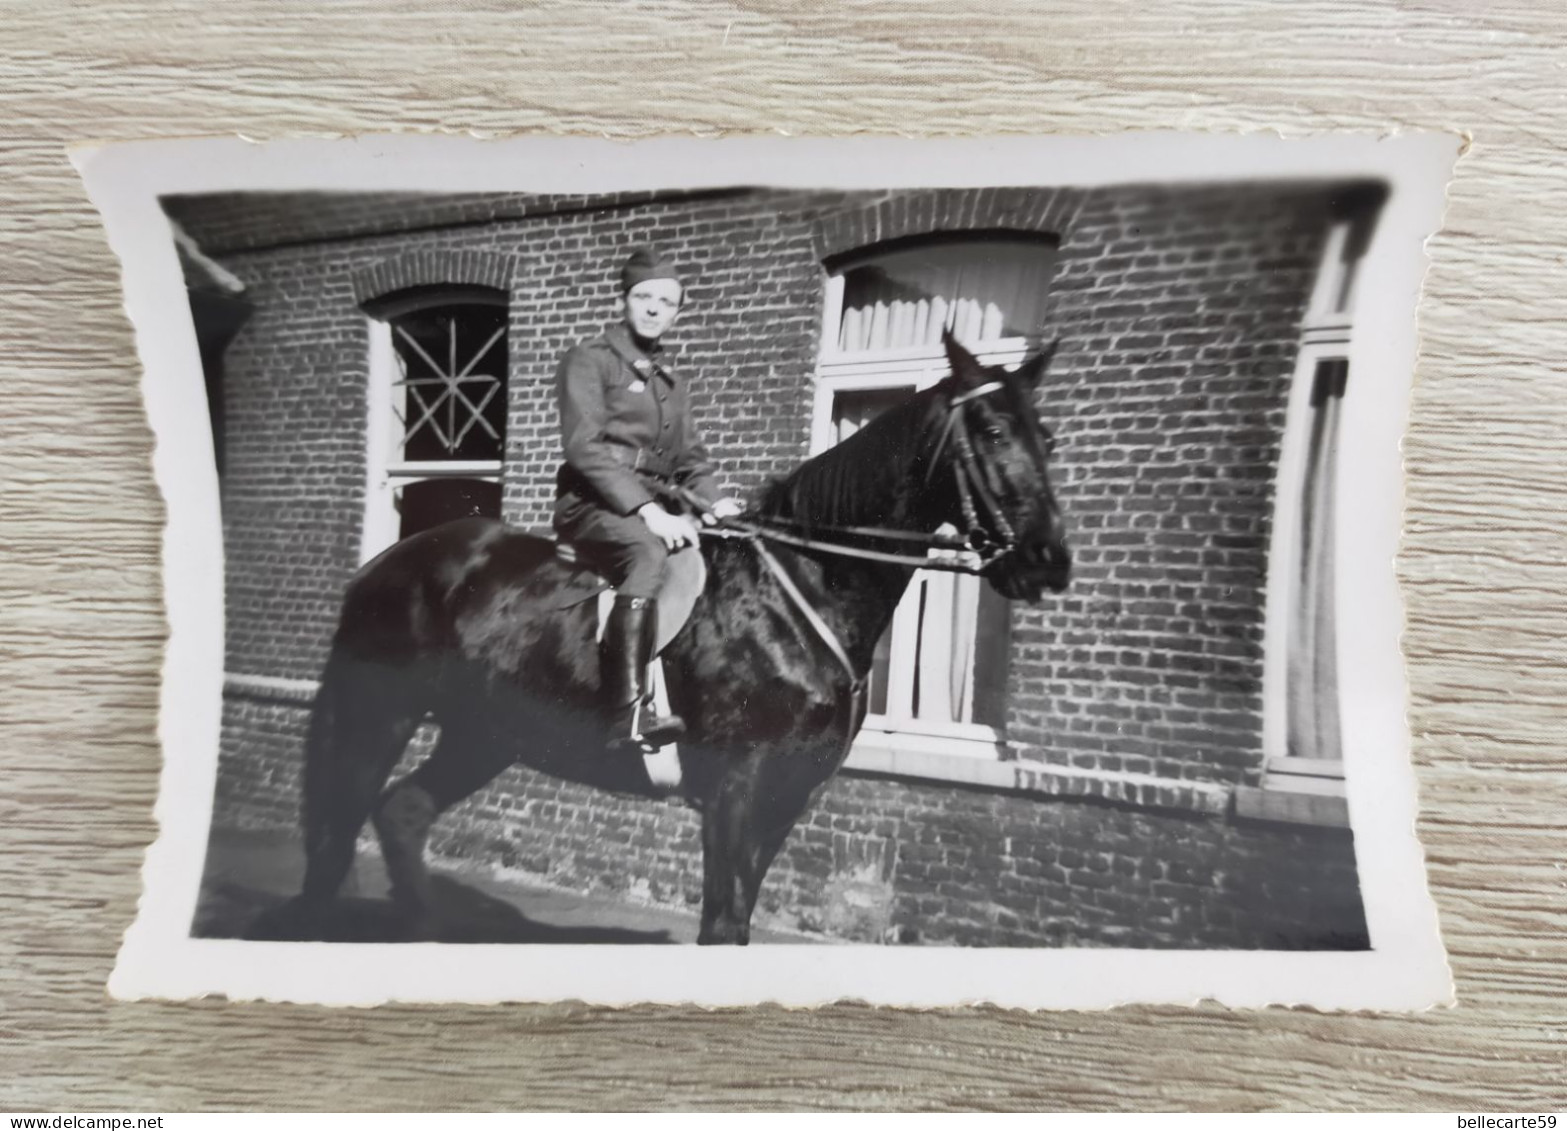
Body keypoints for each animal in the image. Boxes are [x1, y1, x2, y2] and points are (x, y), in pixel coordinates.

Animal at [285, 330, 1065, 939]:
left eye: (1047, 436)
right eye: (993, 431)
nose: (1048, 560)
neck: (803, 588)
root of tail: (386, 562)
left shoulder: (788, 794)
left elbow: (737, 922)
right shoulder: (735, 789)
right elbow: (721, 925)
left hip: (484, 732)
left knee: (402, 815)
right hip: (379, 717)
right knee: (334, 842)